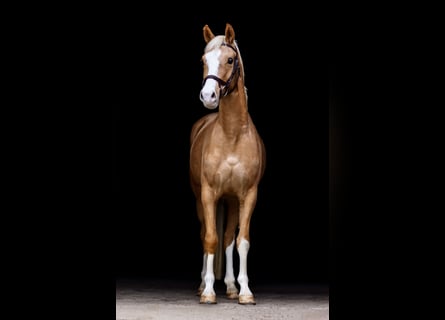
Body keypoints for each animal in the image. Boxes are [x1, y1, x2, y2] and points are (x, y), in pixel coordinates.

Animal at [189, 23, 266, 304]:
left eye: (230, 60)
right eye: (203, 60)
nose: (208, 96)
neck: (232, 135)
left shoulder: (248, 195)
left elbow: (241, 241)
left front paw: (245, 292)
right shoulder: (209, 194)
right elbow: (210, 239)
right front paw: (209, 292)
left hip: (232, 200)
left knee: (229, 239)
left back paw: (232, 287)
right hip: (201, 198)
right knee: (206, 234)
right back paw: (203, 283)